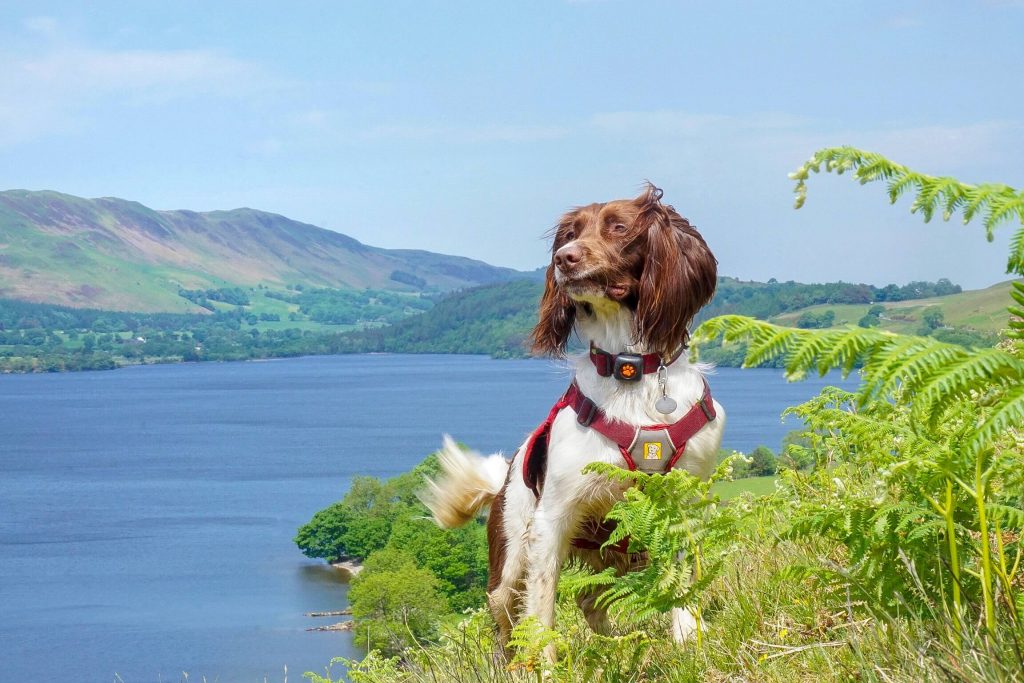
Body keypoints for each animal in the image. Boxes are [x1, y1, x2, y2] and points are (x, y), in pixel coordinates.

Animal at [423, 183, 729, 655]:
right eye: (569, 233)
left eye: (619, 228)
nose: (563, 258)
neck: (631, 368)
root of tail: (503, 477)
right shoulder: (552, 519)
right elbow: (541, 614)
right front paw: (548, 665)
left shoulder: (681, 502)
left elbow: (683, 579)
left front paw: (688, 639)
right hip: (511, 561)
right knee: (507, 624)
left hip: (622, 553)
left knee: (590, 599)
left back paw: (617, 646)